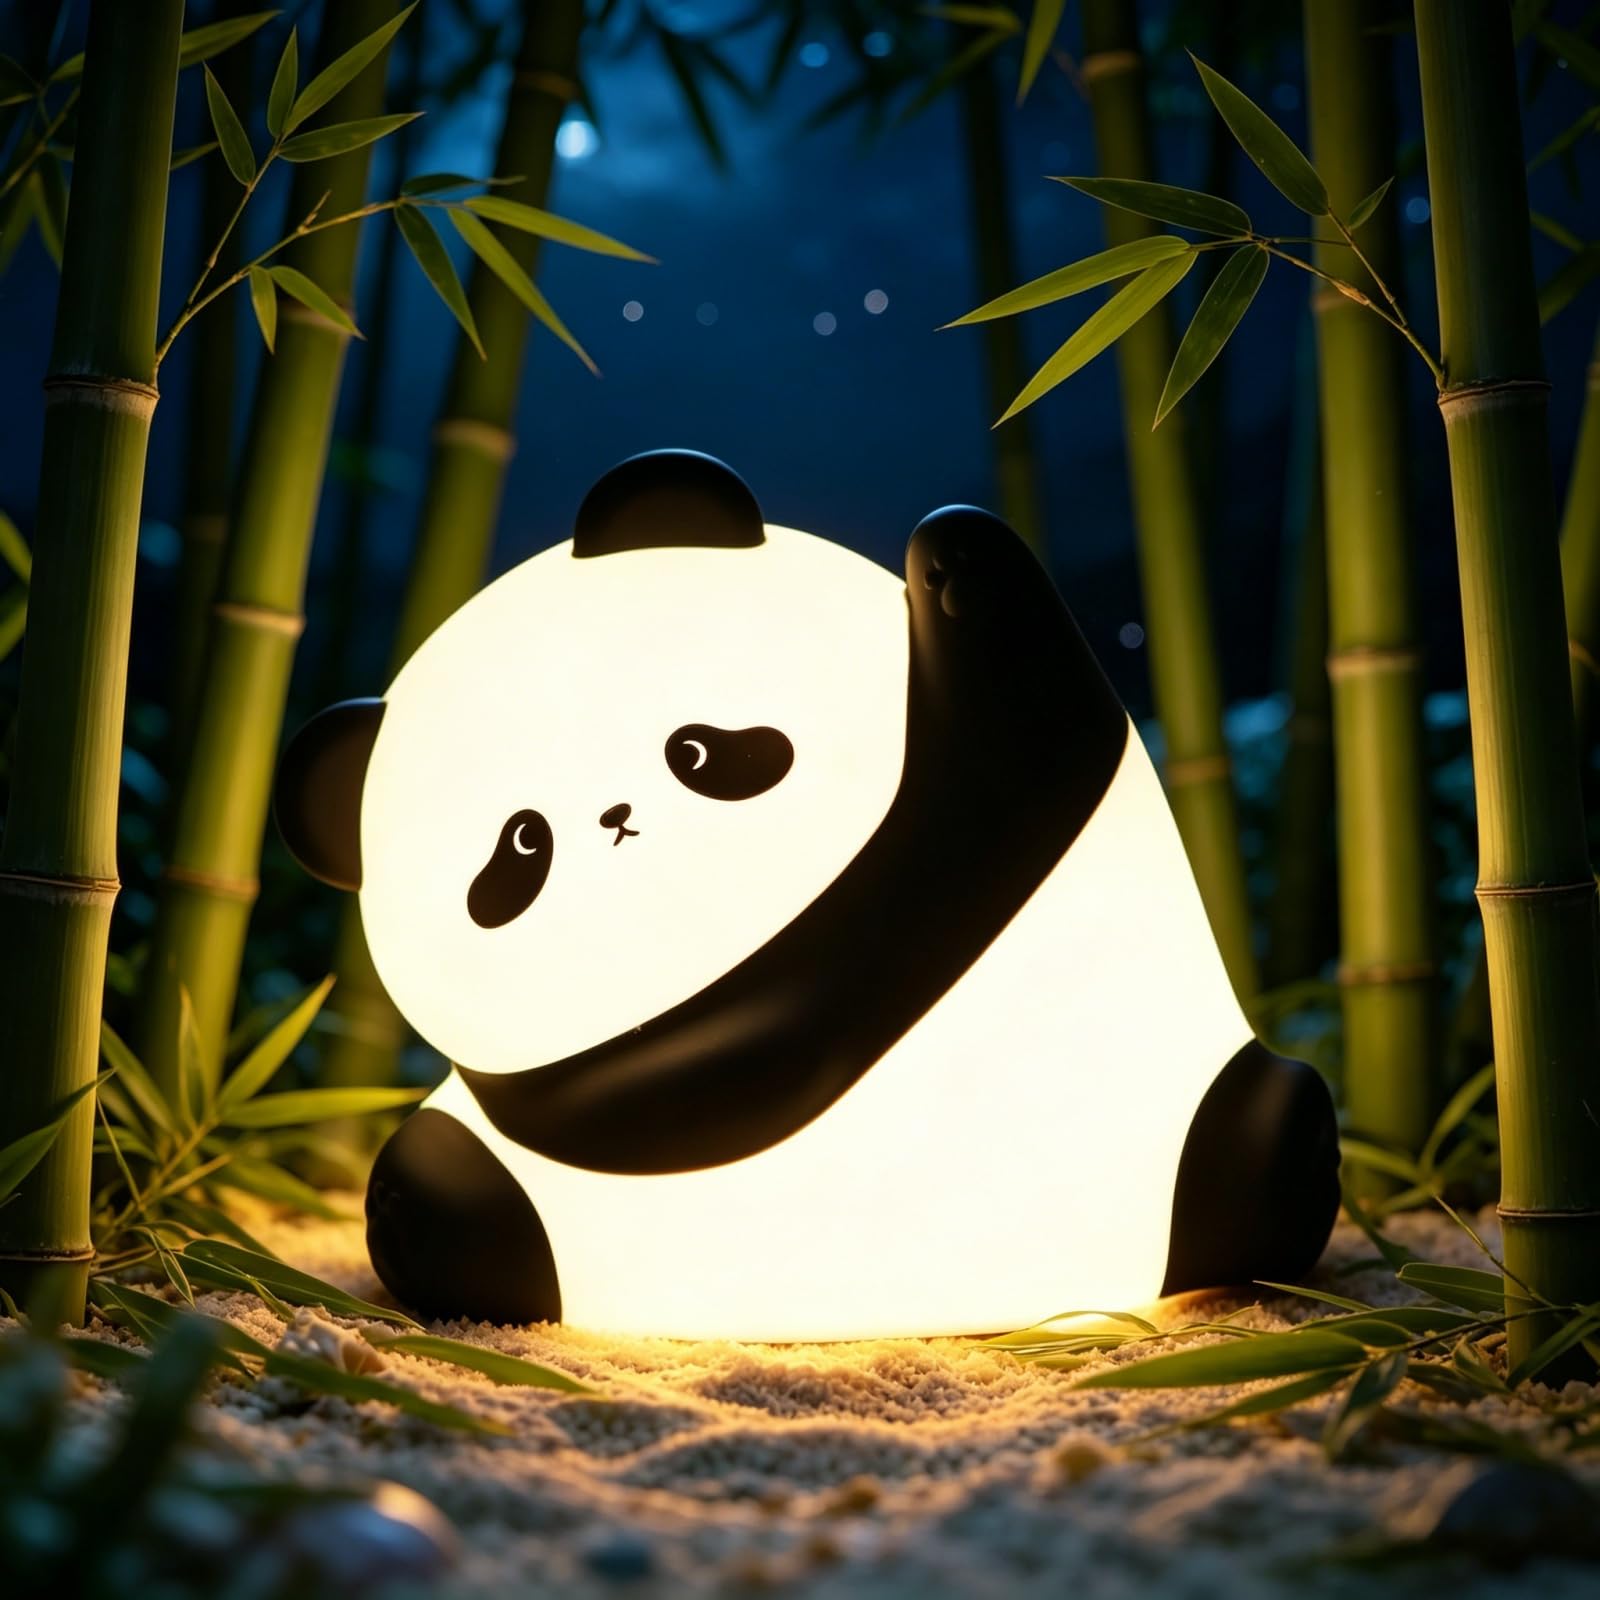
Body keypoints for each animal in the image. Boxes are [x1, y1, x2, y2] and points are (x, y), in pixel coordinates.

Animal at [275, 449, 1339, 1342]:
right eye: (522, 845)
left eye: (697, 753)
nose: (617, 819)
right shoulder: (584, 1078)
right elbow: (655, 1089)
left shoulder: (998, 798)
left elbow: (1001, 767)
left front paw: (957, 560)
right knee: (442, 1187)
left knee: (1267, 1137)